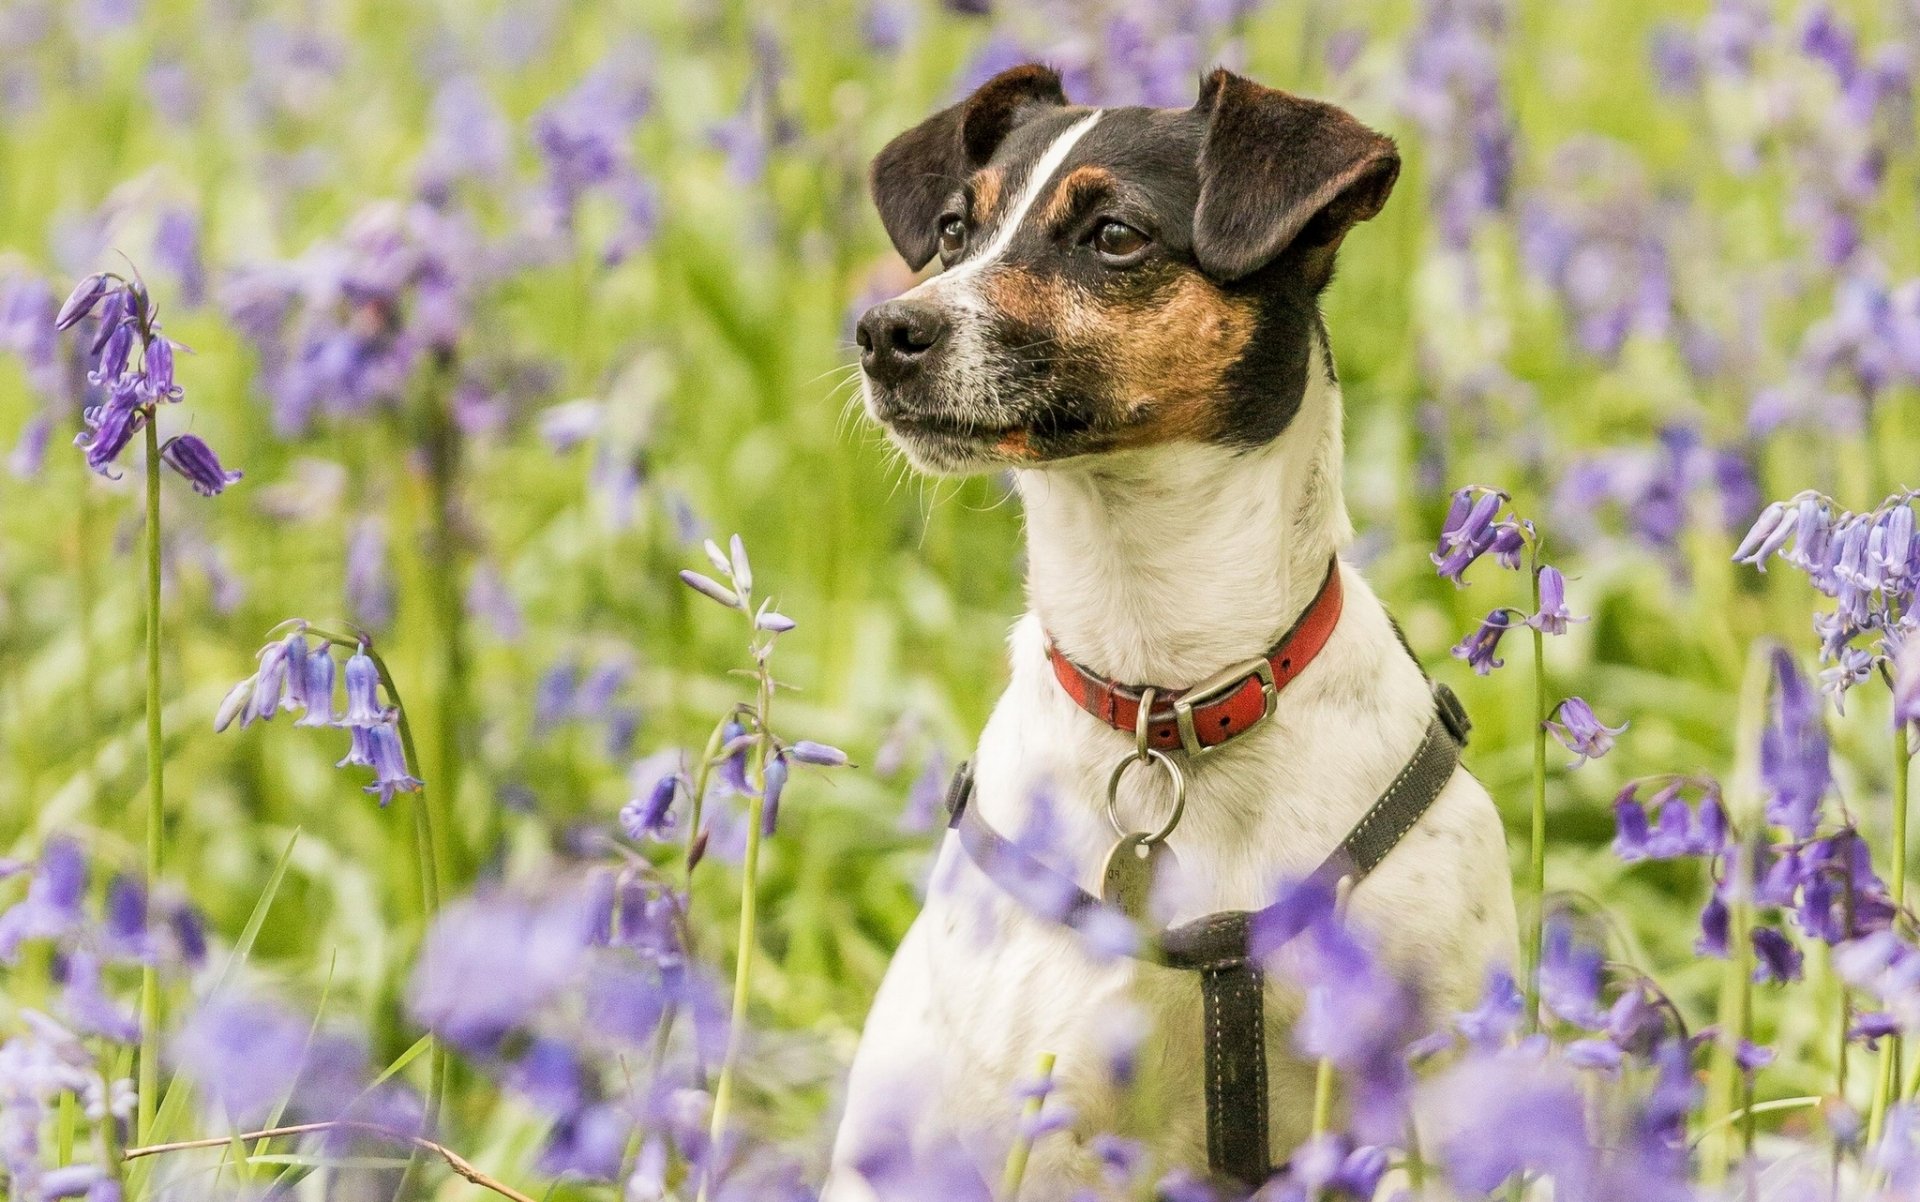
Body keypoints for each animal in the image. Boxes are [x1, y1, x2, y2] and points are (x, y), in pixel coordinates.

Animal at [825, 67, 1512, 1198]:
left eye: (1115, 235)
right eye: (957, 229)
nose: (883, 331)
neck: (1171, 691)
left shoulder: (1426, 1098)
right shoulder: (1055, 1122)